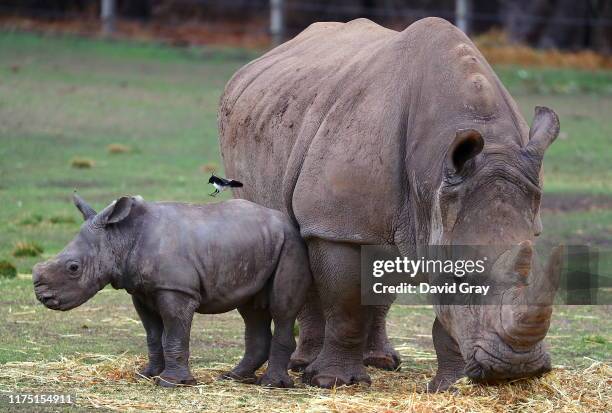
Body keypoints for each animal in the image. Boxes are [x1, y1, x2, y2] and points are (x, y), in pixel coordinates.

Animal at [32, 193, 310, 386]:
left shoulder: (177, 290)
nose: (43, 297)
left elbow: (174, 334)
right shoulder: (141, 292)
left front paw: (171, 382)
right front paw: (147, 375)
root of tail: (288, 221)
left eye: (73, 268)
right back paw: (232, 377)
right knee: (251, 309)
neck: (119, 236)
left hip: (291, 243)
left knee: (282, 309)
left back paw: (271, 384)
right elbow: (154, 335)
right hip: (257, 245)